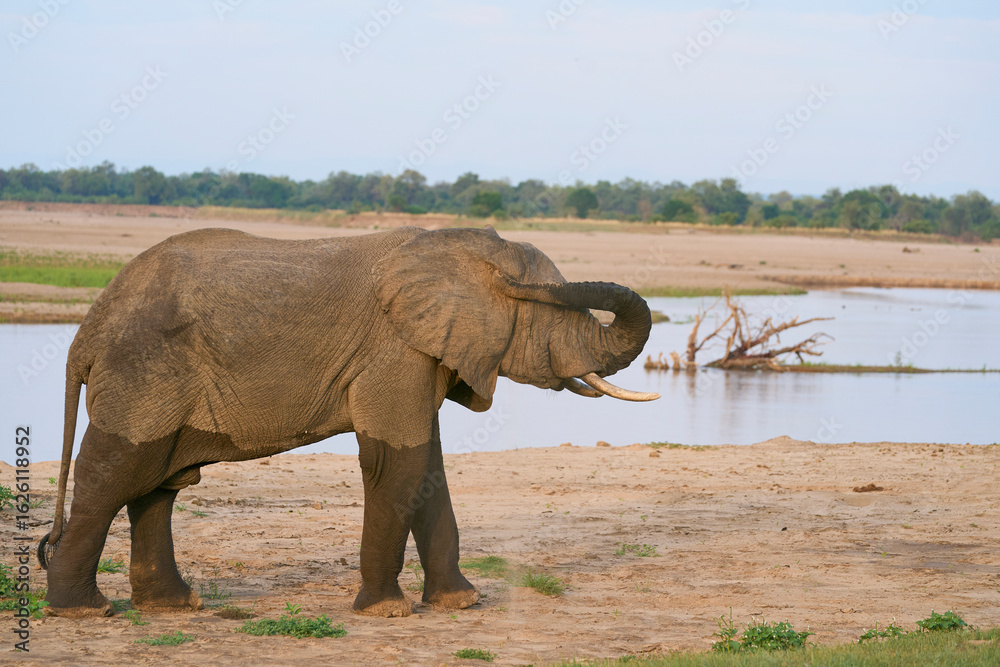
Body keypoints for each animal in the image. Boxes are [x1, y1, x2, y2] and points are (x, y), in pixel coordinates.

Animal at [38, 224, 658, 618]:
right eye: (551, 304)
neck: (452, 249)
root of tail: (85, 332)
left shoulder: (419, 354)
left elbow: (426, 467)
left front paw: (460, 604)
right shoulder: (394, 351)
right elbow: (397, 464)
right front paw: (387, 613)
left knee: (158, 484)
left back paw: (173, 606)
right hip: (144, 373)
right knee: (115, 475)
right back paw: (84, 613)